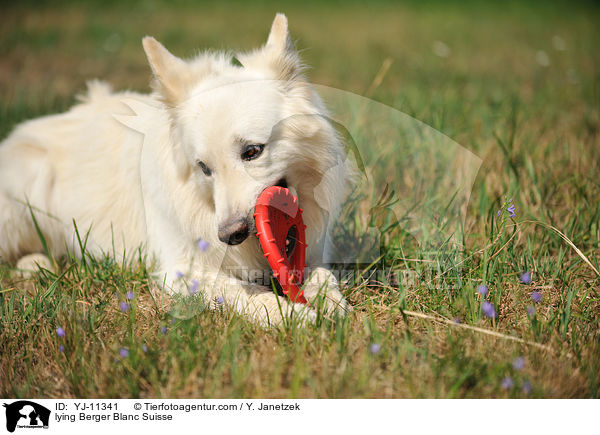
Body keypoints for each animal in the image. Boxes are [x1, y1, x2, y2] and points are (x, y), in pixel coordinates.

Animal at [0, 13, 352, 326]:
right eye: (204, 168)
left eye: (252, 151)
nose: (230, 236)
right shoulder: (184, 270)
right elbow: (244, 293)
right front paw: (292, 315)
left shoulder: (314, 250)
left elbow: (323, 275)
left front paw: (330, 303)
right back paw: (36, 263)